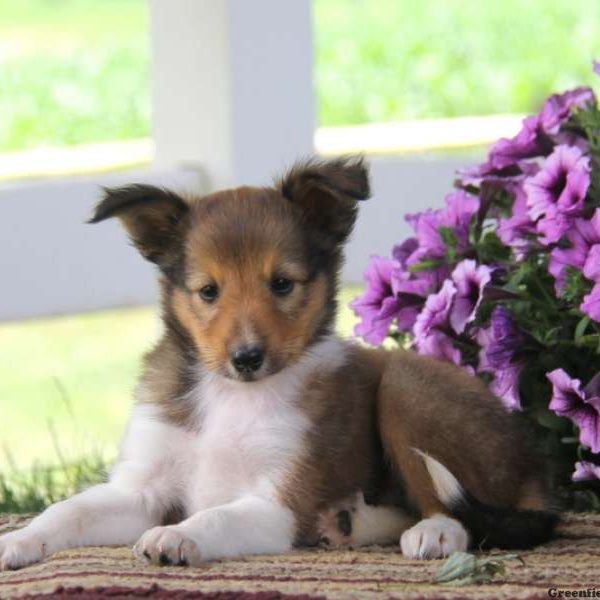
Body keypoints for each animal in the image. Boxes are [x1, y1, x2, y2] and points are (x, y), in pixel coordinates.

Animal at [0, 155, 556, 568]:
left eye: (282, 283)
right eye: (208, 291)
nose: (247, 358)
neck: (230, 395)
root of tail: (535, 466)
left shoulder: (280, 502)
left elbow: (216, 517)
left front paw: (175, 537)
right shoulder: (143, 489)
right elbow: (67, 509)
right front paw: (17, 542)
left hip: (405, 387)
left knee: (460, 510)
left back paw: (434, 532)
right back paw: (349, 524)